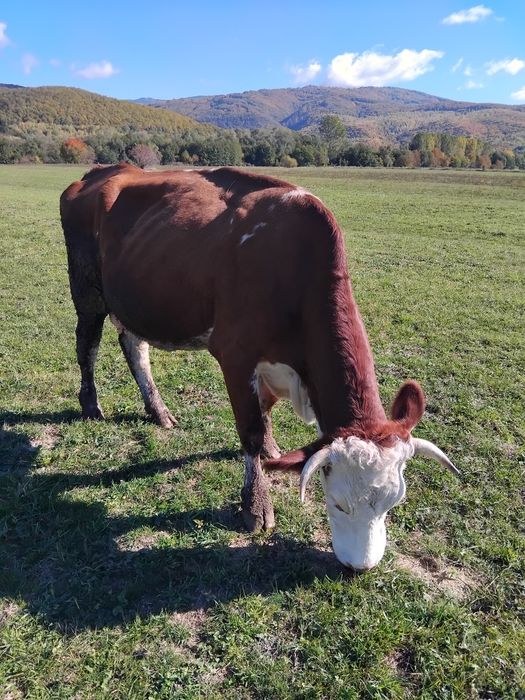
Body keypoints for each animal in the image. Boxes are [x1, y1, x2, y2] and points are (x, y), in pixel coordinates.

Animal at [60, 163, 458, 571]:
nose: (360, 566)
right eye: (337, 503)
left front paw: (271, 449)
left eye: (393, 503)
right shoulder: (235, 355)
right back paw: (90, 405)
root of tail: (106, 170)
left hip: (134, 300)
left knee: (134, 348)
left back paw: (158, 411)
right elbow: (250, 428)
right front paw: (256, 505)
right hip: (87, 290)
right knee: (87, 345)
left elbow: (265, 414)